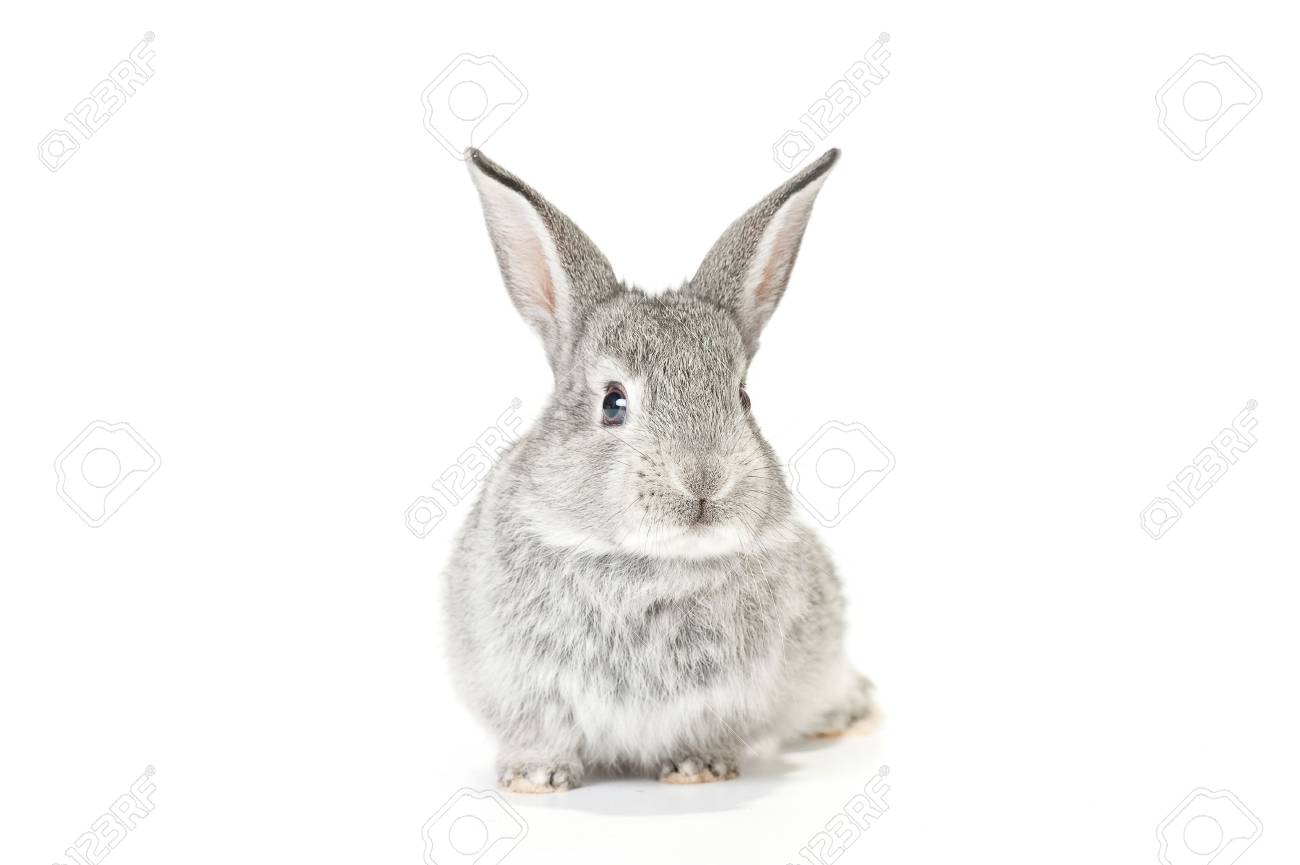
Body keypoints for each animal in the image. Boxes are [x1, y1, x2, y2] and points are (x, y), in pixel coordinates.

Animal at [443, 147, 876, 793]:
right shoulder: (526, 691)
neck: (649, 563)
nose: (703, 484)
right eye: (613, 402)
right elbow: (541, 735)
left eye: (743, 398)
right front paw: (535, 779)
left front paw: (697, 770)